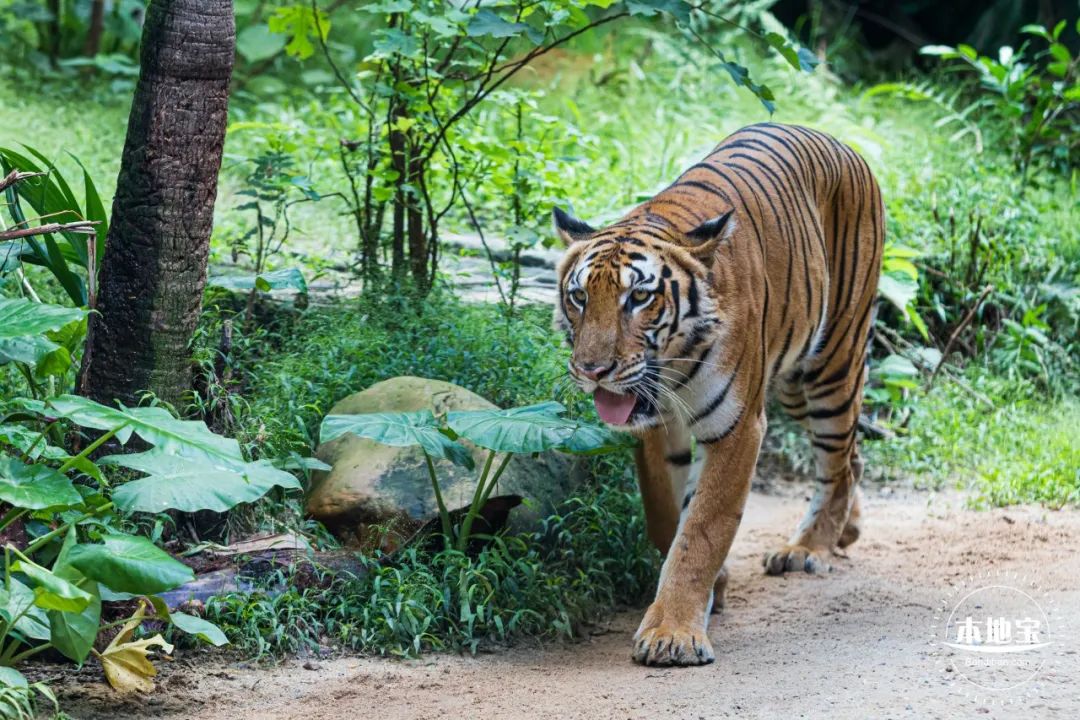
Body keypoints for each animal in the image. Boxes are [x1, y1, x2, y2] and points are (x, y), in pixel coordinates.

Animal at [552, 120, 881, 669]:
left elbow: (703, 528)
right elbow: (667, 517)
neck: (672, 367)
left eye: (638, 297)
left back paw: (809, 549)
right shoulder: (653, 428)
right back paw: (847, 531)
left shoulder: (737, 426)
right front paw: (712, 590)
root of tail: (841, 143)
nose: (592, 370)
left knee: (836, 461)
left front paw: (673, 633)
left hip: (830, 364)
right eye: (579, 296)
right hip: (791, 382)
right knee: (853, 455)